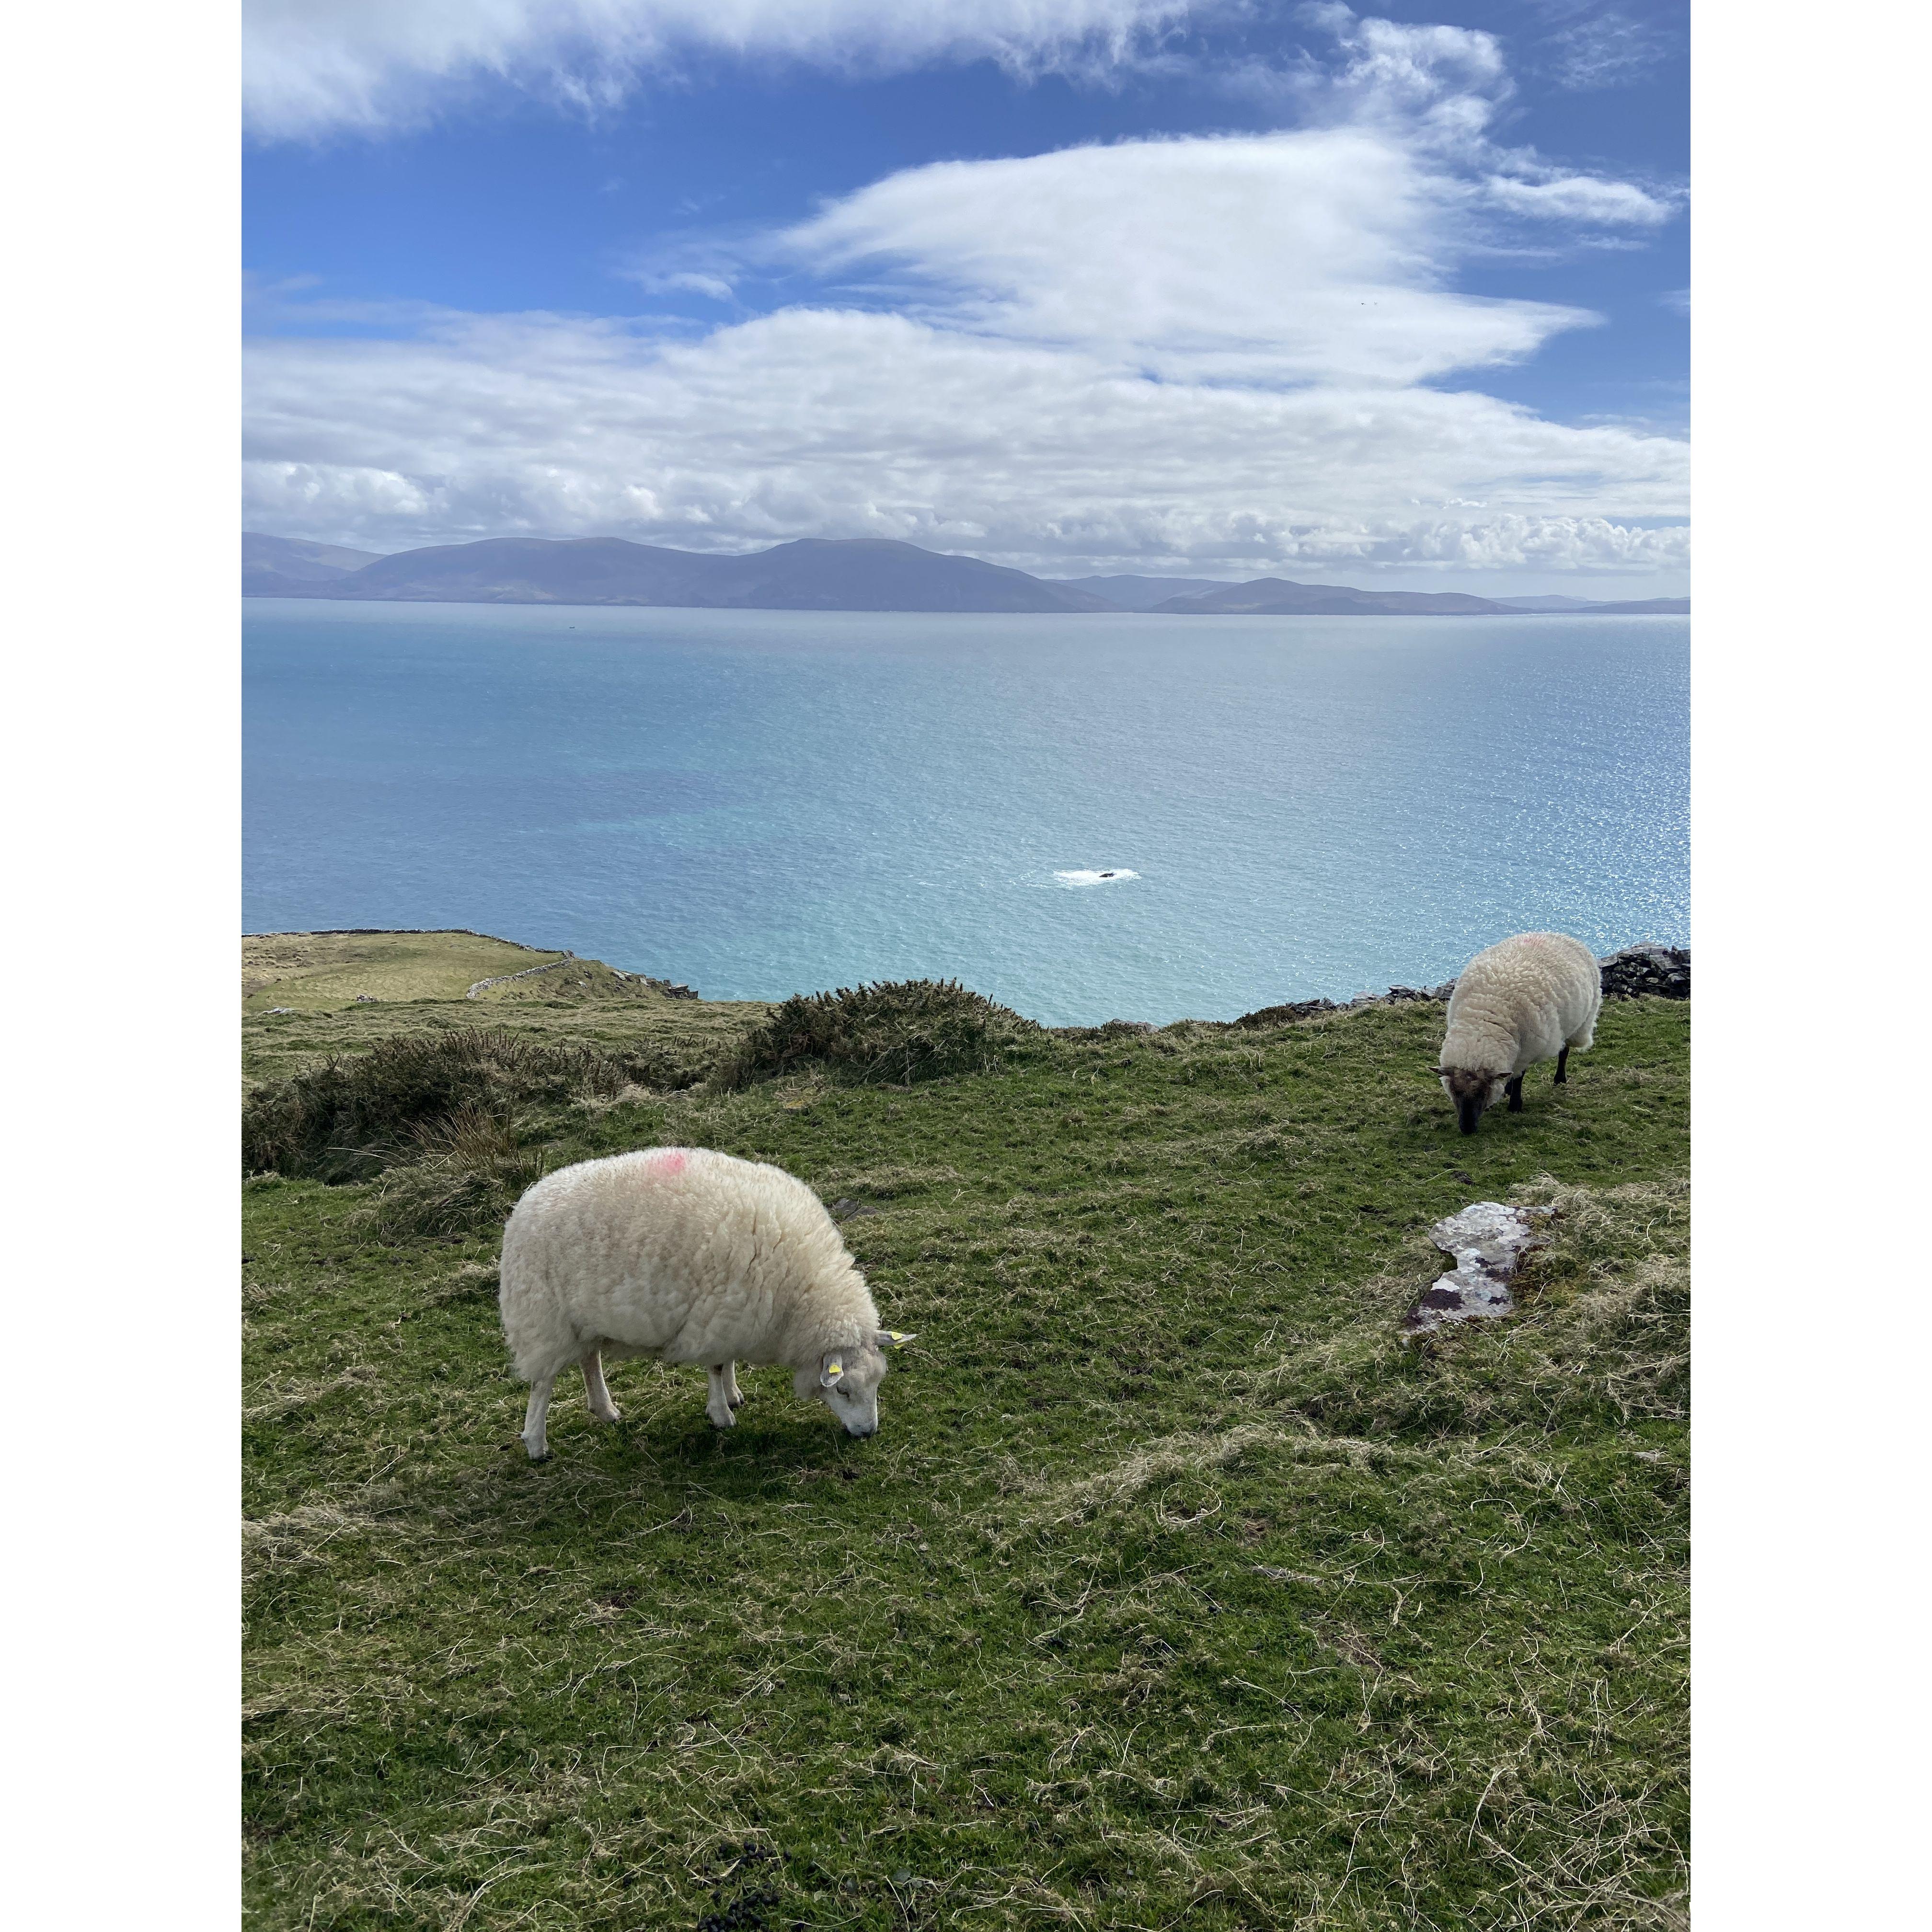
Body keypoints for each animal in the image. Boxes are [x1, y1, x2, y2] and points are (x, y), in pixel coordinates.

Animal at [498, 1146, 915, 1458]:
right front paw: (721, 1415)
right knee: (542, 1385)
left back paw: (605, 1410)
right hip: (542, 1317)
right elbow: (715, 1366)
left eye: (878, 1383)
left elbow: (727, 1363)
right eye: (843, 1390)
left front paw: (733, 1396)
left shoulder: (736, 1313)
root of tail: (526, 1204)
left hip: (583, 1322)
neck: (801, 1295)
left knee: (589, 1360)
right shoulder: (720, 1315)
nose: (868, 1433)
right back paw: (536, 1444)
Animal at [1438, 932, 1601, 1134]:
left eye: (1483, 1093)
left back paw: (1559, 1079)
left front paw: (1515, 1105)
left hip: (1578, 1024)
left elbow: (1519, 1078)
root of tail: (1560, 935)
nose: (1467, 1129)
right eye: (1454, 1092)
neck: (1485, 1016)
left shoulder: (1526, 1052)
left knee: (1564, 1051)